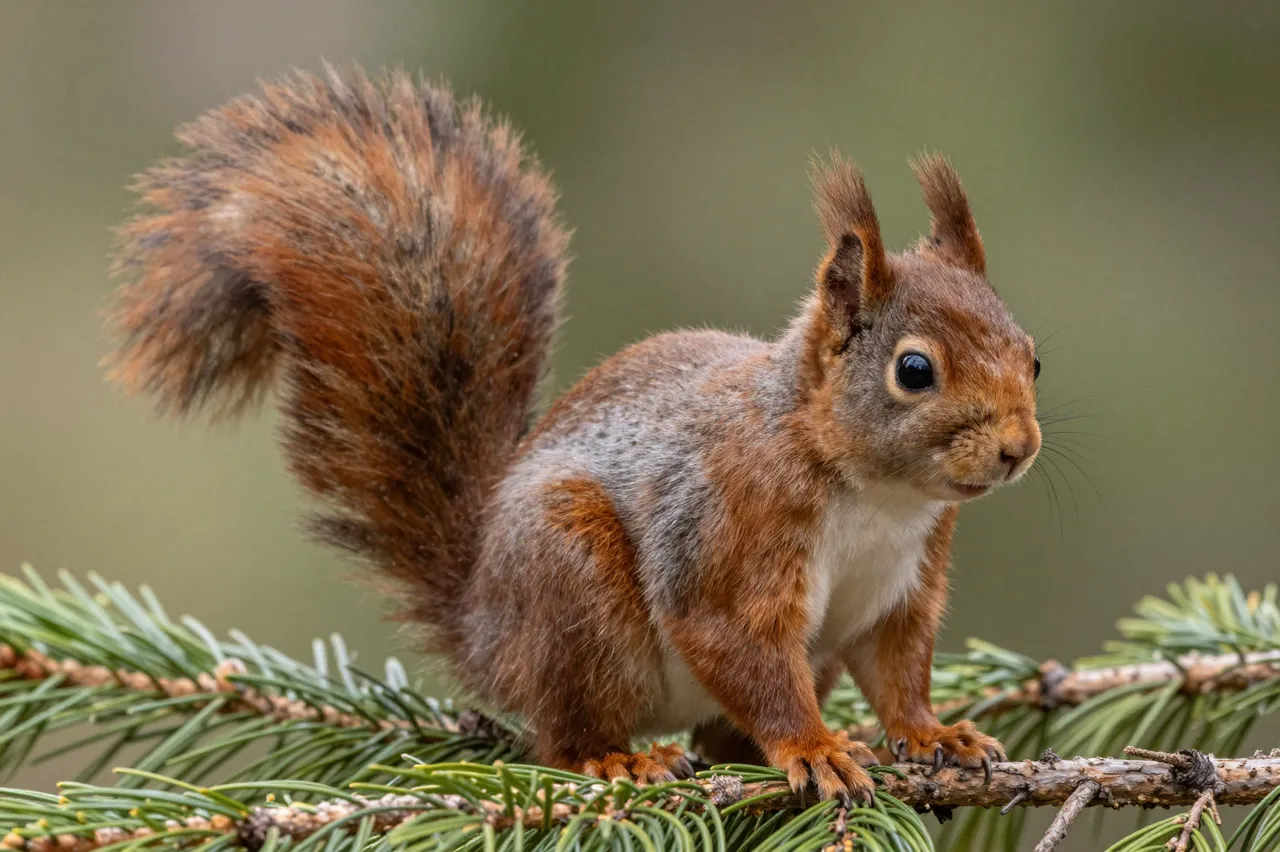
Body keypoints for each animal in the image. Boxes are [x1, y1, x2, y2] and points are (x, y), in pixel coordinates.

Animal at [105, 64, 1041, 805]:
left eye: (1033, 354)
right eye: (913, 370)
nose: (1017, 449)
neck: (876, 495)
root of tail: (484, 626)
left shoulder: (904, 585)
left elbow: (899, 669)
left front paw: (934, 734)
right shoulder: (727, 534)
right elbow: (737, 647)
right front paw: (812, 747)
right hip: (571, 581)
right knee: (560, 738)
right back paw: (621, 761)